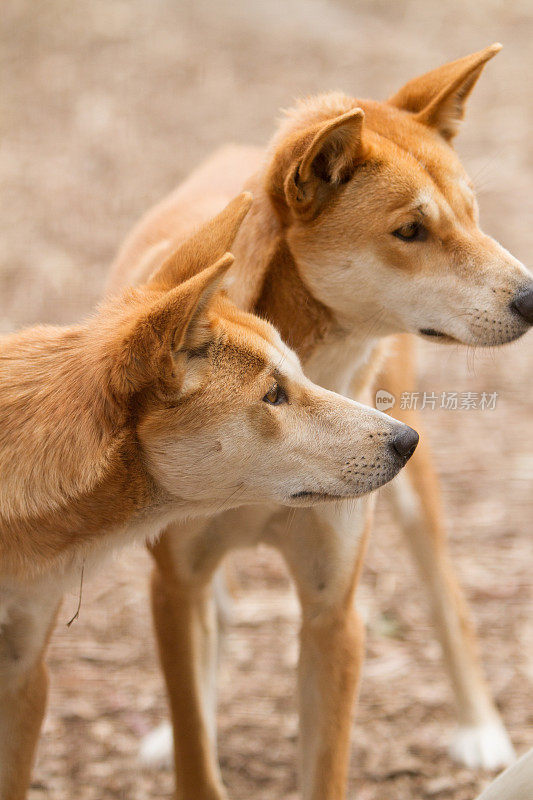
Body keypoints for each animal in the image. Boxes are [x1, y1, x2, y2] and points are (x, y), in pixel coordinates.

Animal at [109, 45, 532, 800]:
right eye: (410, 231)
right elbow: (194, 741)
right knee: (215, 621)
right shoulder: (174, 583)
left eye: (473, 215)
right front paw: (185, 737)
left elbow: (326, 765)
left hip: (413, 485)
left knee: (446, 597)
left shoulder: (333, 610)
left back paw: (480, 726)